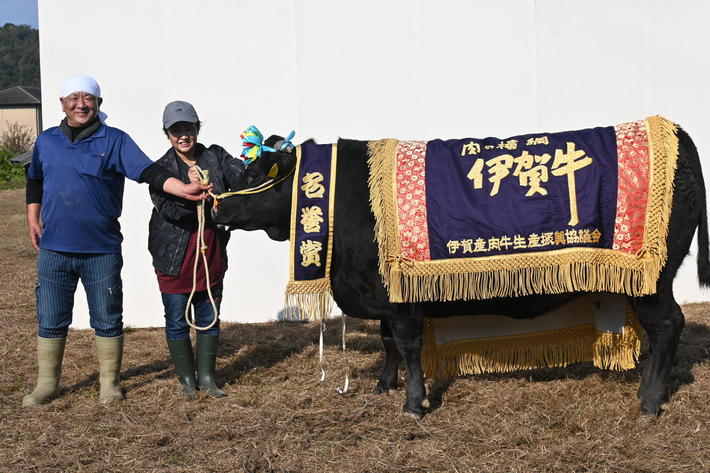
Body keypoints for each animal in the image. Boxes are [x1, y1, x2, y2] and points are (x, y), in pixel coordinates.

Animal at [214, 129, 708, 416]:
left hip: (654, 279)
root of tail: (673, 130)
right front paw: (383, 386)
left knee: (669, 324)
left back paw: (649, 402)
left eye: (255, 173)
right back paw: (646, 390)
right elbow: (387, 342)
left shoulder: (400, 298)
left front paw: (414, 403)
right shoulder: (382, 293)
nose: (215, 206)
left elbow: (408, 345)